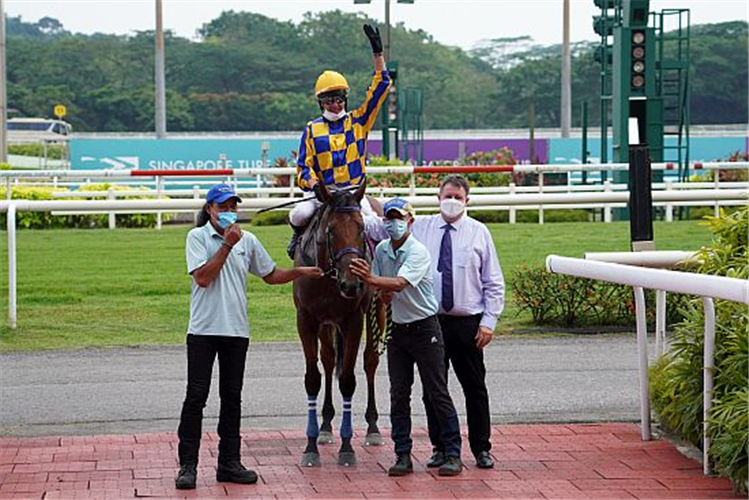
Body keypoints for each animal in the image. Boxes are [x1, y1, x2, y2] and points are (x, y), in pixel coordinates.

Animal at [292, 182, 386, 466]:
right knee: (329, 358)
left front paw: (347, 447)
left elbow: (347, 379)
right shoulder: (307, 319)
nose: (352, 284)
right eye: (331, 230)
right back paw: (325, 425)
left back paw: (373, 428)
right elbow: (313, 378)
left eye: (362, 228)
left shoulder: (352, 320)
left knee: (370, 361)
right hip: (326, 324)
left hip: (378, 307)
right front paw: (311, 445)